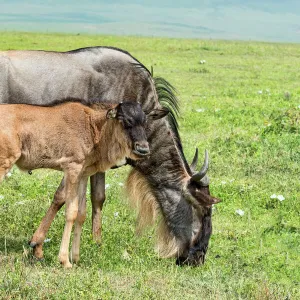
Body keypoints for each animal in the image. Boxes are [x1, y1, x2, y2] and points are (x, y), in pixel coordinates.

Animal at [0, 100, 168, 268]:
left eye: (144, 121)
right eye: (123, 120)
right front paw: (64, 260)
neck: (94, 127)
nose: (143, 149)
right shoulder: (72, 169)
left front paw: (75, 258)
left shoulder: (83, 174)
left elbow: (81, 213)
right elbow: (71, 212)